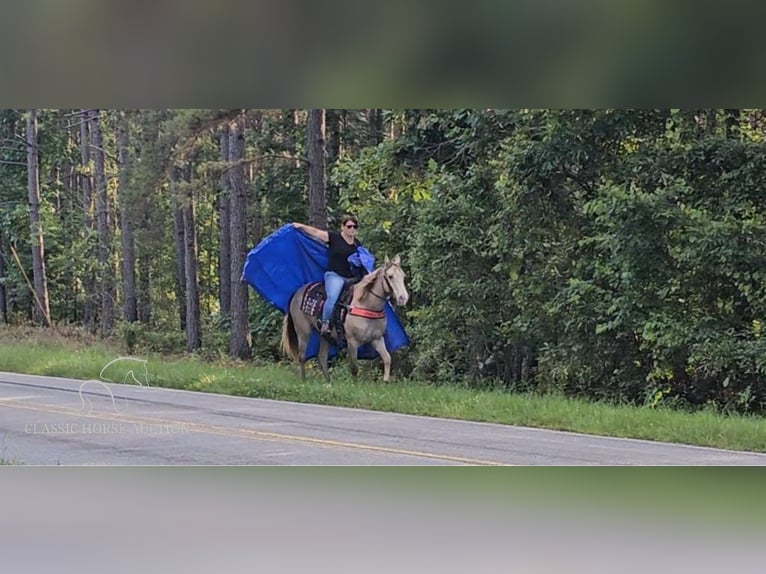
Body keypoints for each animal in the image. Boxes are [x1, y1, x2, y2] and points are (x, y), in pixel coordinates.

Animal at [282, 256, 412, 382]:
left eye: (403, 276)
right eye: (390, 276)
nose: (403, 298)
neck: (365, 305)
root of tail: (296, 292)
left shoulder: (377, 338)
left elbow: (387, 358)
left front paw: (385, 381)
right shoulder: (352, 342)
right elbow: (354, 367)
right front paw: (355, 385)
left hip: (324, 335)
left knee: (322, 357)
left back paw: (329, 382)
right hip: (303, 332)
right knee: (302, 356)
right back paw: (303, 380)